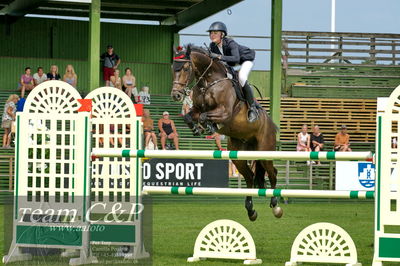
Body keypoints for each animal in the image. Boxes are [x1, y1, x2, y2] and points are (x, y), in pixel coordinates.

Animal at [170, 45, 282, 220]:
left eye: (186, 68)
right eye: (173, 68)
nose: (176, 95)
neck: (208, 81)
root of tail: (271, 125)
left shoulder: (224, 112)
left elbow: (205, 116)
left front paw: (207, 126)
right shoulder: (197, 109)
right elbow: (190, 116)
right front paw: (197, 128)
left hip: (265, 152)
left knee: (272, 173)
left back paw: (276, 206)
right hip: (238, 155)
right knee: (250, 176)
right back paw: (251, 210)